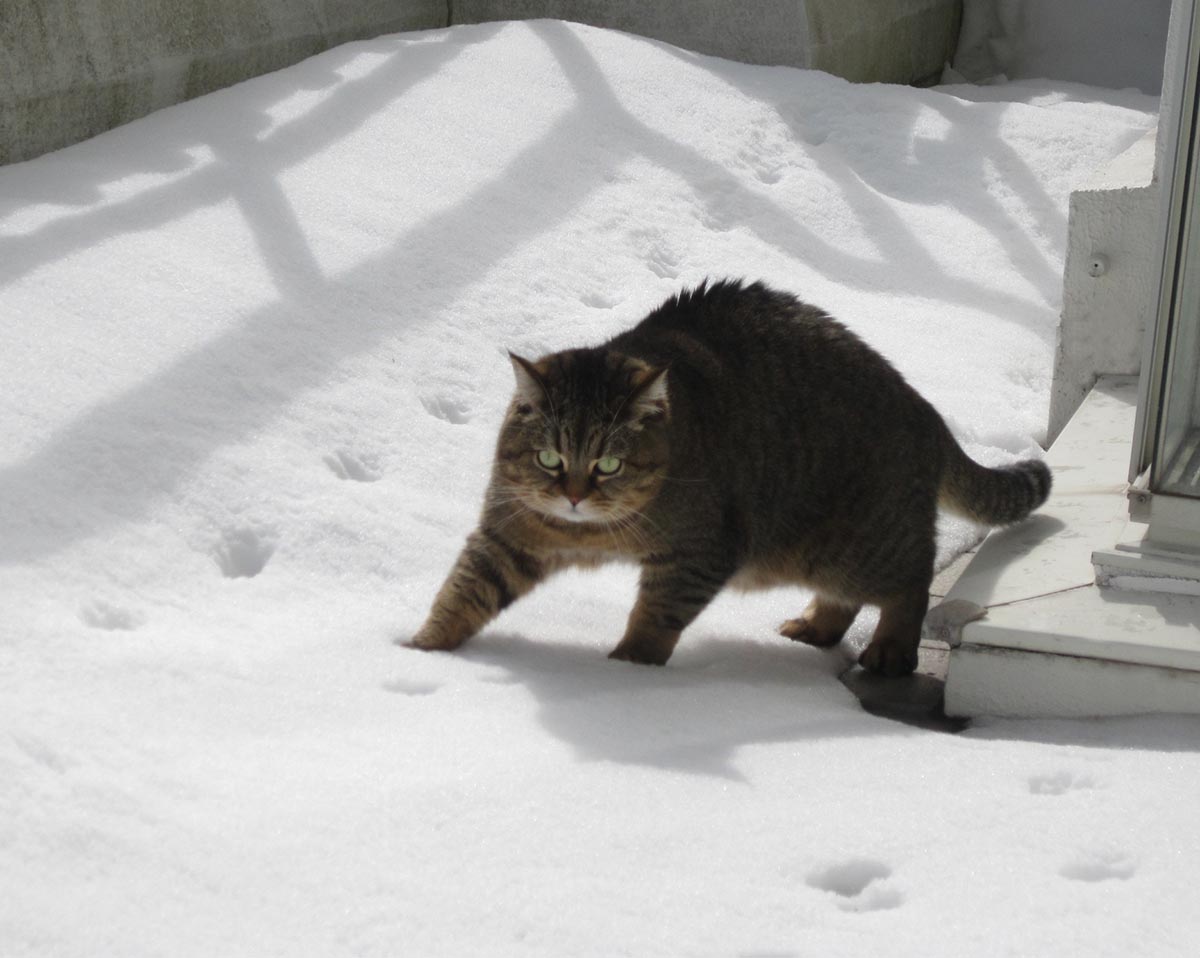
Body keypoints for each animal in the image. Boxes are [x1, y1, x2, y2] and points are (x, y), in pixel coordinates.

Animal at [405, 280, 1051, 677]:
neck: (592, 531)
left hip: (853, 544)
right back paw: (815, 627)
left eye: (609, 463)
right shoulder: (507, 535)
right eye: (548, 459)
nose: (574, 495)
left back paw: (891, 647)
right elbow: (461, 593)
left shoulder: (696, 554)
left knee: (911, 579)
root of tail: (923, 406)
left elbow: (655, 619)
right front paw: (419, 651)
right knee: (850, 599)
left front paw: (626, 673)